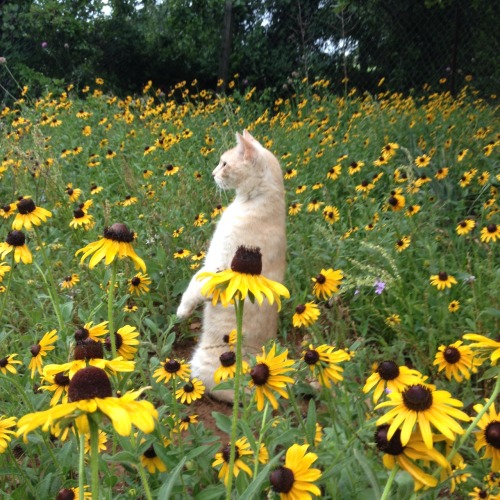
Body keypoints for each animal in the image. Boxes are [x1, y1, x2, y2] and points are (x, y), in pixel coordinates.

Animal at [176, 129, 286, 402]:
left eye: (224, 164)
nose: (212, 173)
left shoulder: (217, 266)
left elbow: (192, 288)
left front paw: (181, 312)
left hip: (201, 362)